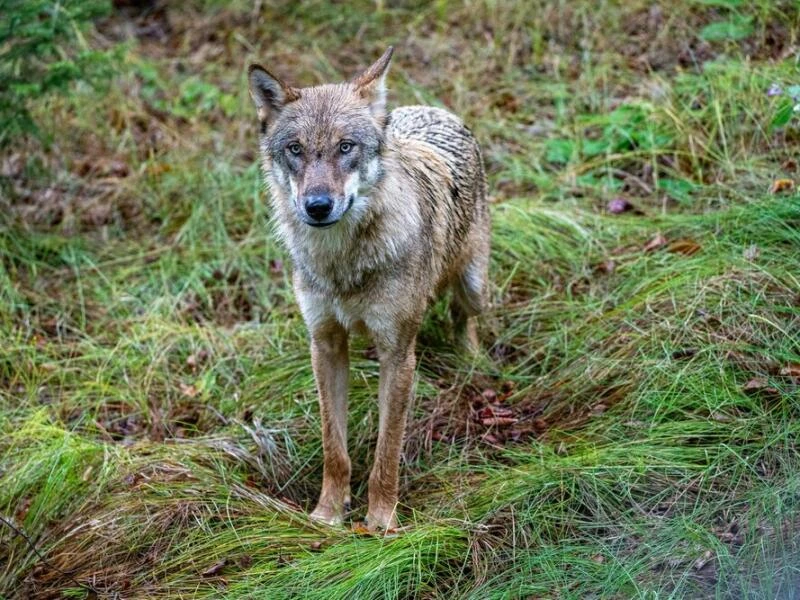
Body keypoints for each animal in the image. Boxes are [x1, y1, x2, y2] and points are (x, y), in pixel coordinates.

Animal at [247, 45, 490, 528]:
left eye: (346, 147)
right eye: (295, 150)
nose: (317, 206)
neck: (343, 263)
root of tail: (433, 110)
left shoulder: (397, 354)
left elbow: (387, 450)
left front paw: (380, 523)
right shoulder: (324, 344)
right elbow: (334, 448)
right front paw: (327, 514)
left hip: (473, 285)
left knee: (463, 317)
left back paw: (472, 361)